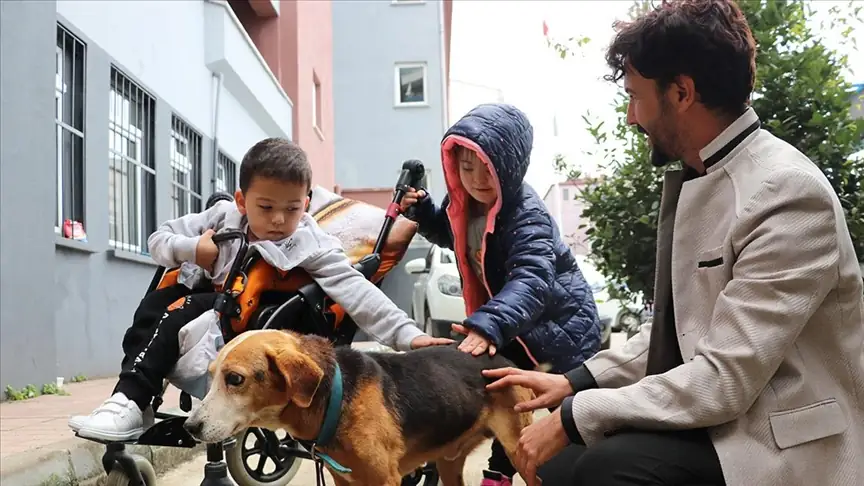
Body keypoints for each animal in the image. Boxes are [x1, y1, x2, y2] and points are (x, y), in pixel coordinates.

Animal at [184, 328, 532, 484]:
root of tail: (503, 358)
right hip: (449, 462)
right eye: (212, 375)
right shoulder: (343, 479)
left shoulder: (386, 480)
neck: (334, 399)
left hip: (521, 450)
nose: (189, 427)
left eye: (235, 379)